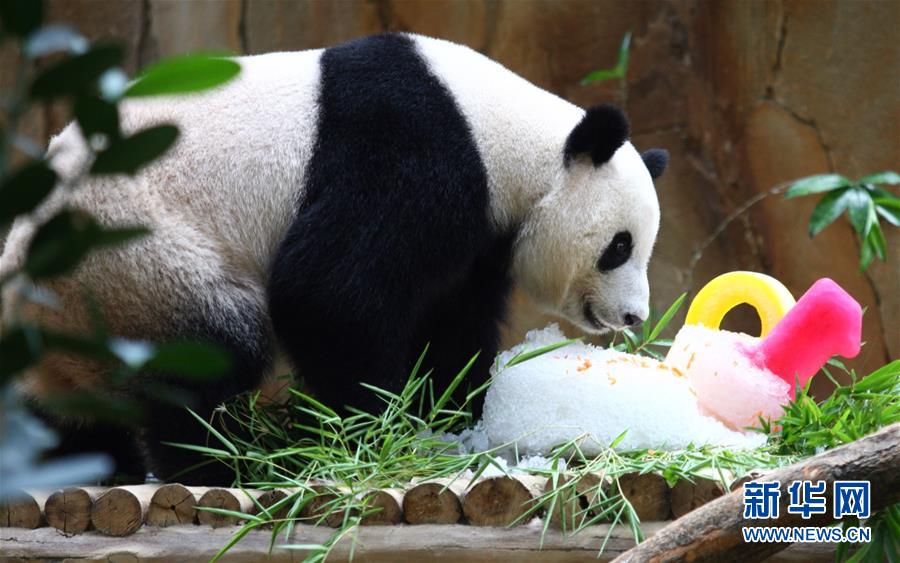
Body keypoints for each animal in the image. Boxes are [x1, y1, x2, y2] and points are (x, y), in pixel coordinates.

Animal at [1, 33, 668, 486]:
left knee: (69, 409)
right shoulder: (412, 151)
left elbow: (450, 324)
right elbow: (326, 292)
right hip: (140, 252)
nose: (634, 317)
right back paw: (229, 463)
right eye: (620, 246)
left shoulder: (478, 235)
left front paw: (451, 414)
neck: (505, 135)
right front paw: (374, 430)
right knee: (210, 349)